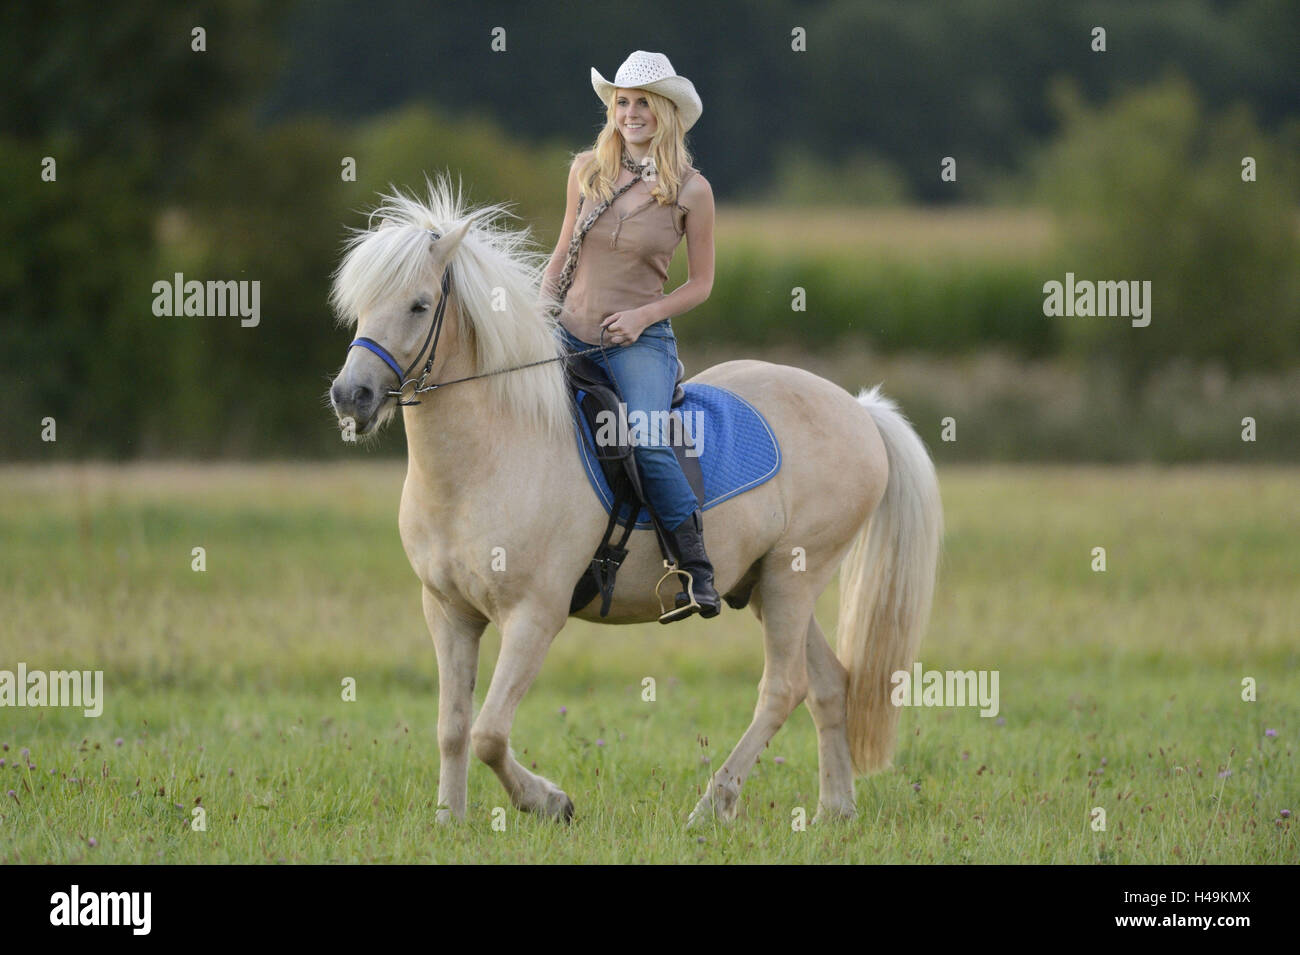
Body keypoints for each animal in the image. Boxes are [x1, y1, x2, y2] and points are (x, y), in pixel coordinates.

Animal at [330, 180, 941, 831]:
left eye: (419, 305)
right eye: (362, 304)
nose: (350, 396)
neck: (491, 453)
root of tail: (859, 411)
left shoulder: (534, 615)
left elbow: (489, 733)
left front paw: (550, 802)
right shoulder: (447, 612)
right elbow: (452, 727)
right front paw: (450, 820)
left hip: (793, 579)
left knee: (783, 689)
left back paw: (712, 806)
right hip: (768, 585)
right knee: (829, 684)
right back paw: (834, 811)